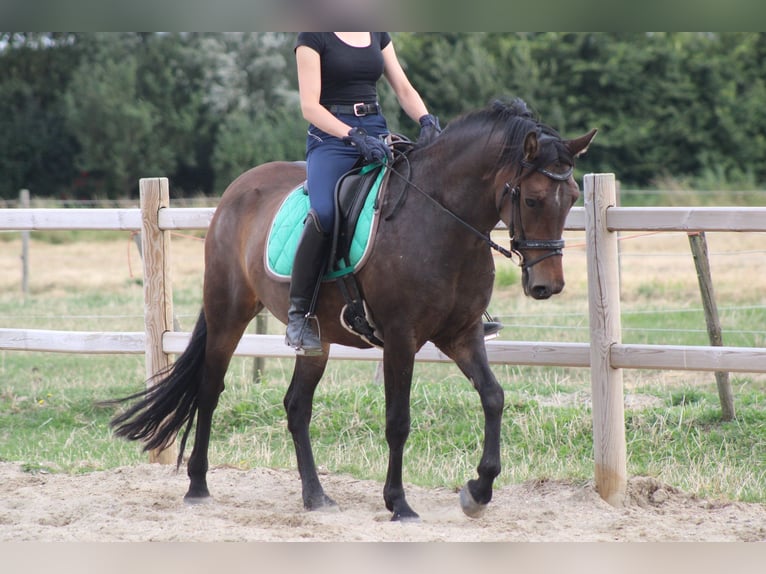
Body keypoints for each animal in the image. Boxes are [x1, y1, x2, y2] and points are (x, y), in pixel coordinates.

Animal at [109, 98, 600, 520]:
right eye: (532, 199)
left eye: (573, 198)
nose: (547, 285)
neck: (441, 220)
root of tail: (237, 190)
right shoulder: (400, 338)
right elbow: (398, 420)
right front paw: (399, 504)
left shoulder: (461, 333)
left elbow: (493, 396)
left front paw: (477, 492)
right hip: (228, 312)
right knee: (210, 390)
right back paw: (198, 487)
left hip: (317, 339)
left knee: (296, 406)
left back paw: (315, 496)